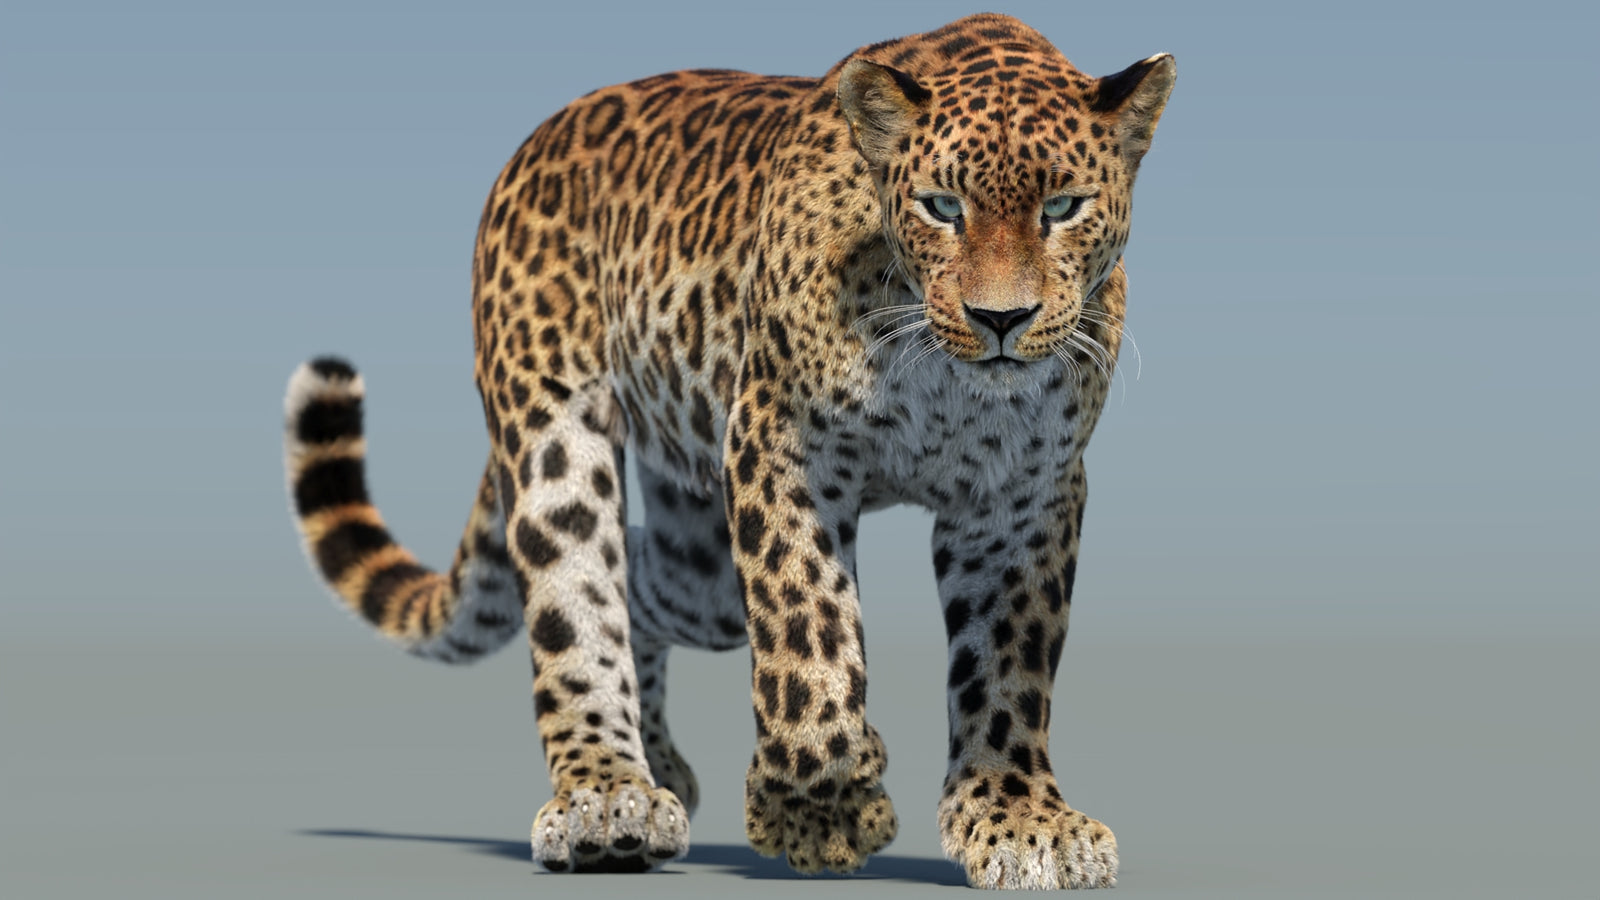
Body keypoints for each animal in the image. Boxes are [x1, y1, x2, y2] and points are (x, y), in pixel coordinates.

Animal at [282, 13, 1173, 890]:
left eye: (1063, 205)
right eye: (941, 206)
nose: (1001, 319)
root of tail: (538, 140)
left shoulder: (1022, 493)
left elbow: (1008, 664)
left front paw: (1019, 817)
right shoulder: (782, 444)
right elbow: (807, 632)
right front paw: (823, 815)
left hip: (698, 551)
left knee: (640, 585)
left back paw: (659, 762)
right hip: (555, 431)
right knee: (579, 608)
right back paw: (609, 797)